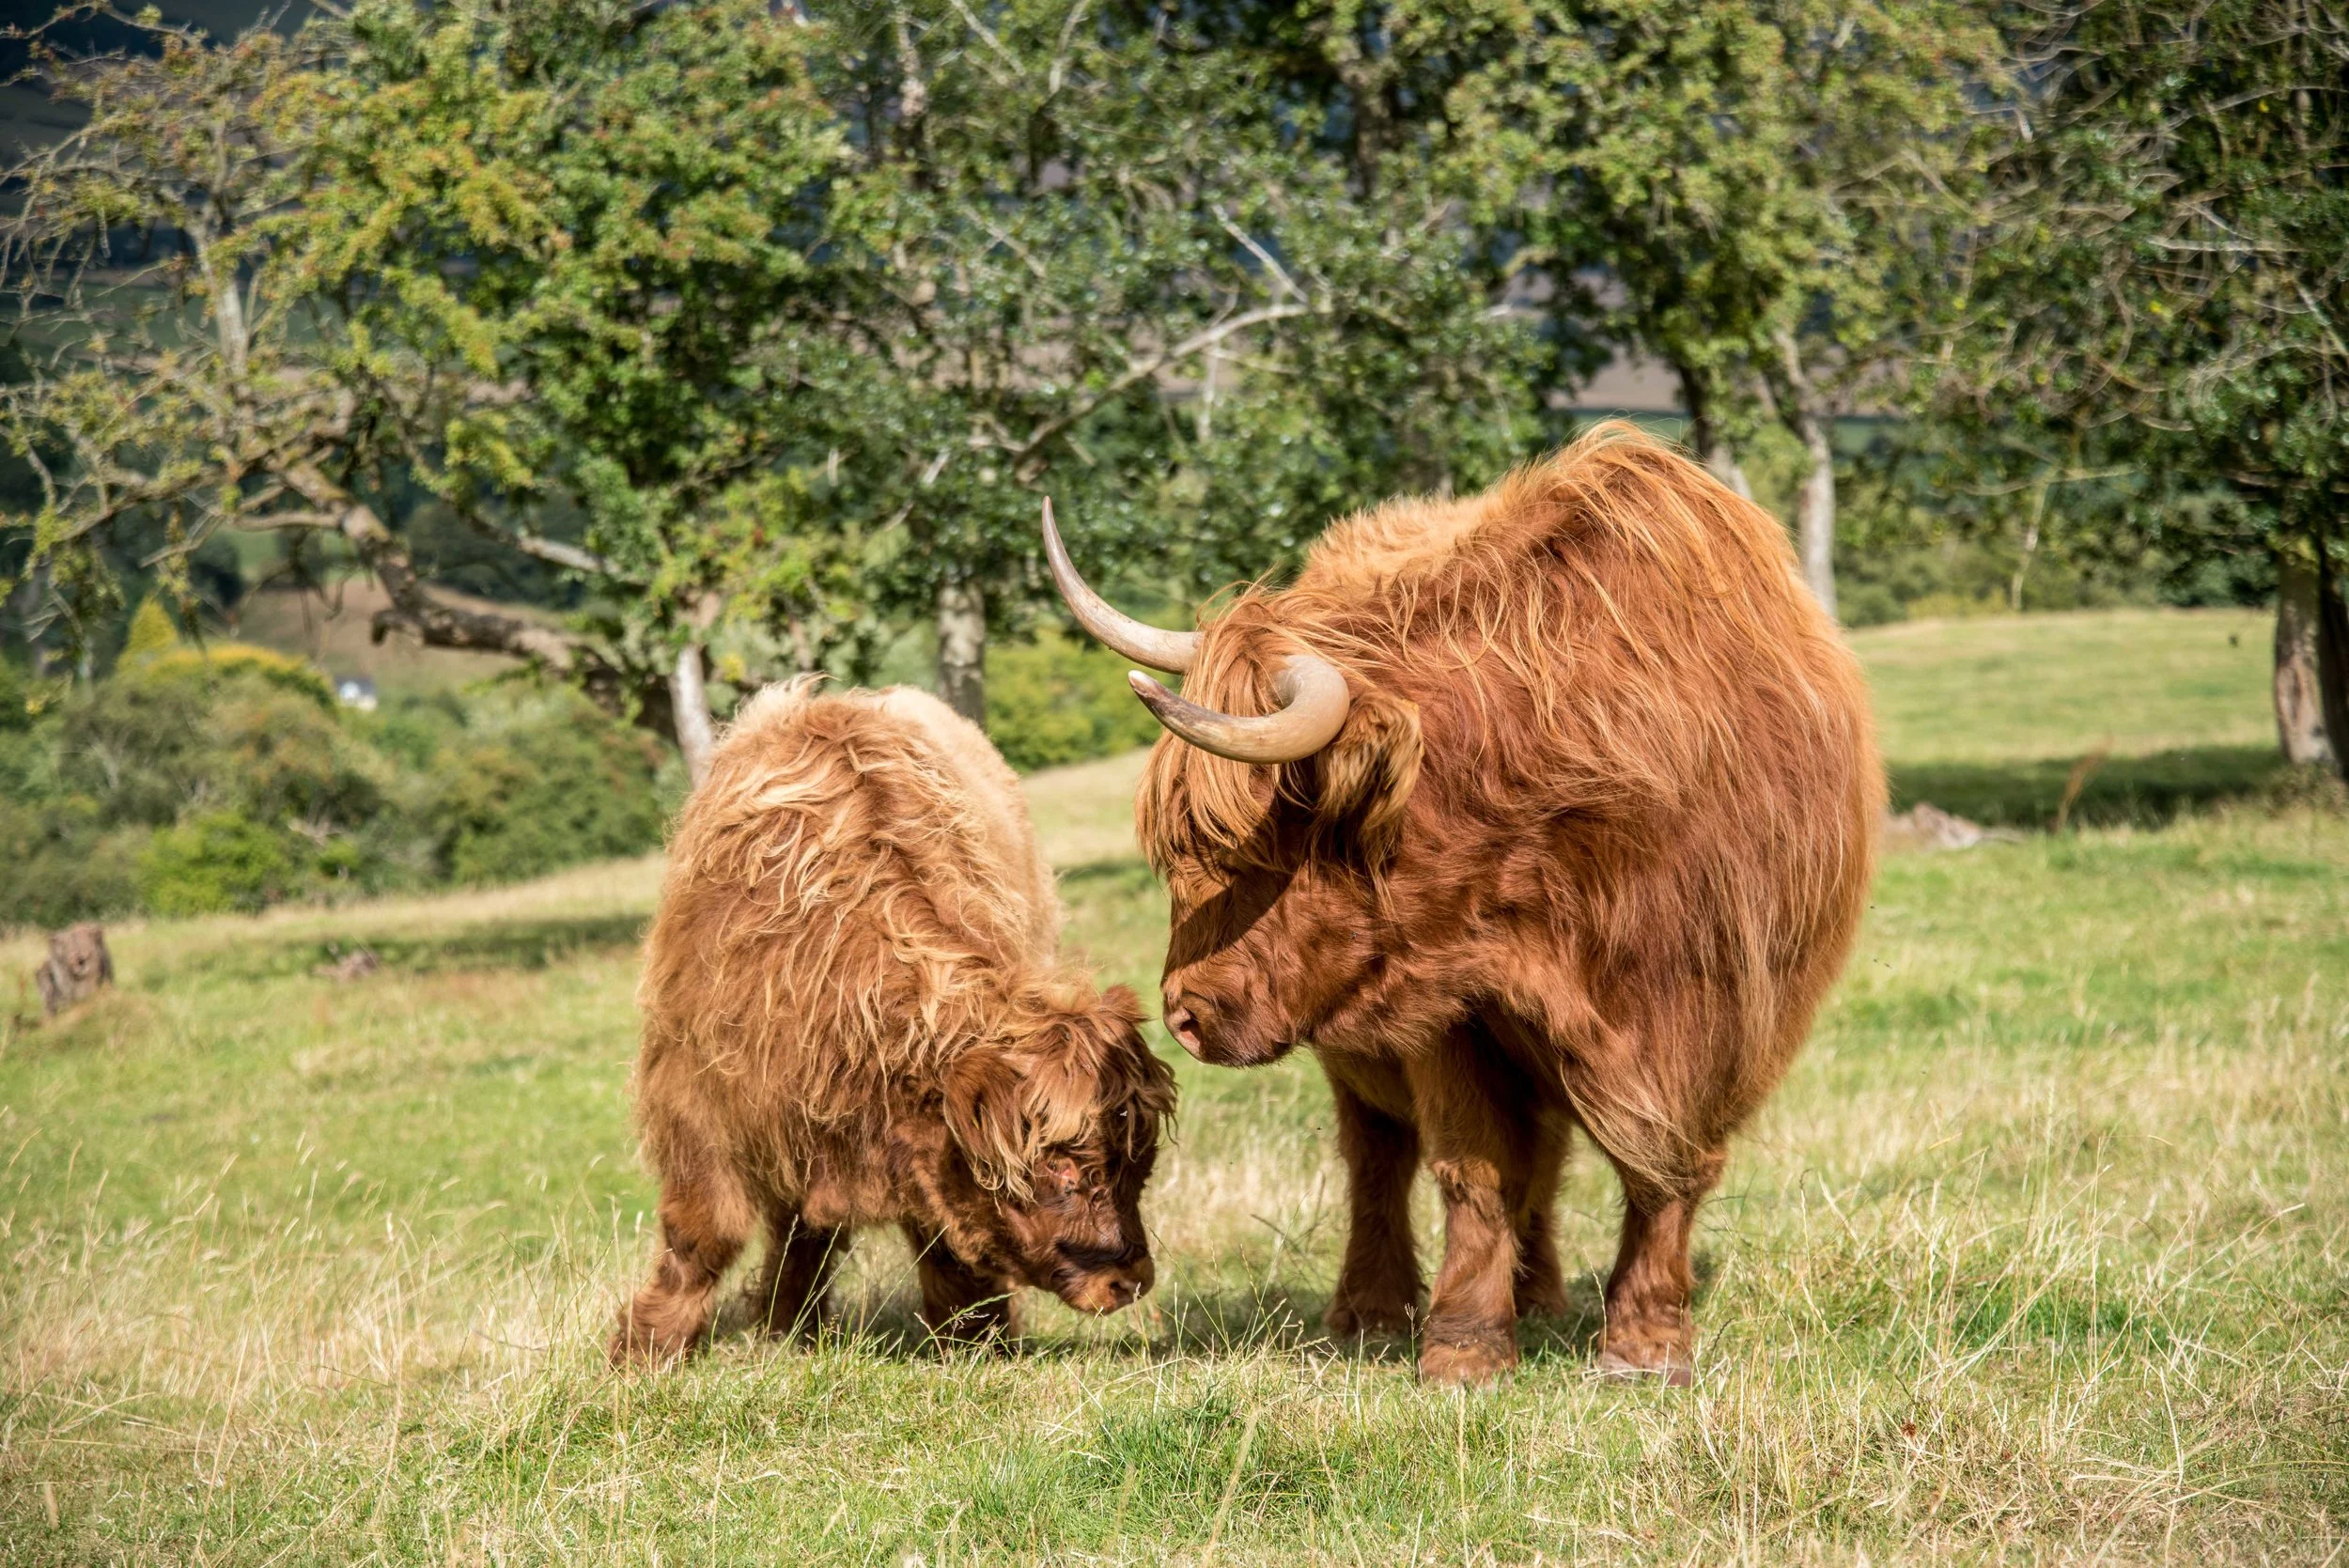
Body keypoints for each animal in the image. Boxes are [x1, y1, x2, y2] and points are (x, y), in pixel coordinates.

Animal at [611, 678, 1176, 1365]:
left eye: (1140, 1162)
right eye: (1059, 1168)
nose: (1129, 1280)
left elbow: (937, 1234)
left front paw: (972, 1338)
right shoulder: (696, 1098)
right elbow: (702, 1232)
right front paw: (645, 1351)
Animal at [1044, 424, 1880, 1386]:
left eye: (1258, 846)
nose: (1183, 1013)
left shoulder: (1723, 1011)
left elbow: (1669, 1167)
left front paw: (1646, 1344)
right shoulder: (1454, 1015)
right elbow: (1474, 1167)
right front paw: (1465, 1346)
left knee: (1545, 1154)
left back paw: (1544, 1293)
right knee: (1378, 1155)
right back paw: (1371, 1309)